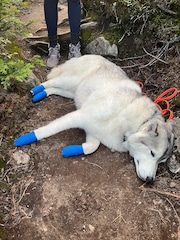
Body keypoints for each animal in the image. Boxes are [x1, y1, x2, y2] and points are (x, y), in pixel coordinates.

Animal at [15, 54, 174, 182]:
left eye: (161, 161)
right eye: (152, 153)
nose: (150, 180)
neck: (128, 125)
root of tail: (95, 55)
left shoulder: (92, 132)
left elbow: (92, 147)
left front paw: (71, 150)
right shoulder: (79, 116)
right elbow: (48, 130)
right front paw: (25, 139)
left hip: (72, 93)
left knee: (54, 89)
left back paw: (41, 94)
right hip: (68, 81)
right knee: (51, 81)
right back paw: (36, 89)